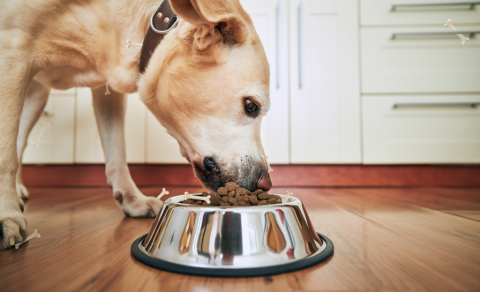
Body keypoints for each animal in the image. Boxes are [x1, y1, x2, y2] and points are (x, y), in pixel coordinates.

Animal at [0, 0, 270, 250]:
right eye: (251, 106)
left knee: (20, 138)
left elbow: (117, 153)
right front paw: (7, 216)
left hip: (36, 96)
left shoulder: (107, 89)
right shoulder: (11, 54)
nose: (266, 183)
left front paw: (131, 199)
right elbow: (5, 154)